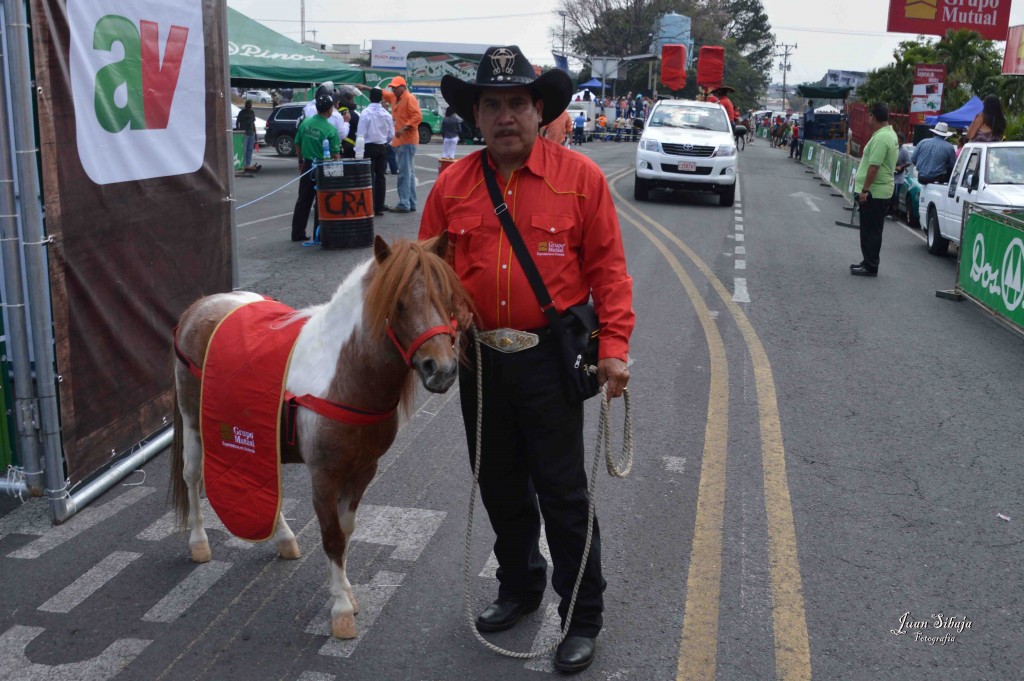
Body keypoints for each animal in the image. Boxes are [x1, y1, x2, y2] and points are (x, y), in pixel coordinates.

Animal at [168, 233, 471, 639]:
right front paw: (341, 608)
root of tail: (201, 305)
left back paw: (282, 536)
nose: (441, 369)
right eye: (399, 303)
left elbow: (346, 531)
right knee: (193, 475)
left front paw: (347, 593)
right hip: (192, 422)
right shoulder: (325, 475)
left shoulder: (363, 470)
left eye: (446, 296)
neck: (342, 375)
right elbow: (331, 536)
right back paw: (199, 541)